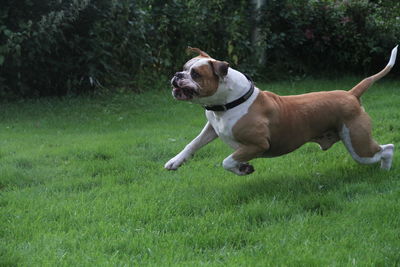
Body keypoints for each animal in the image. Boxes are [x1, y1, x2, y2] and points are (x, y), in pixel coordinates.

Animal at [163, 46, 396, 176]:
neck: (228, 103)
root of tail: (350, 94)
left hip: (358, 145)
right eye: (184, 68)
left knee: (388, 149)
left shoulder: (258, 145)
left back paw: (384, 171)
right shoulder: (211, 128)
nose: (177, 75)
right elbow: (193, 144)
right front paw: (176, 161)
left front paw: (243, 169)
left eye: (195, 74)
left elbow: (227, 160)